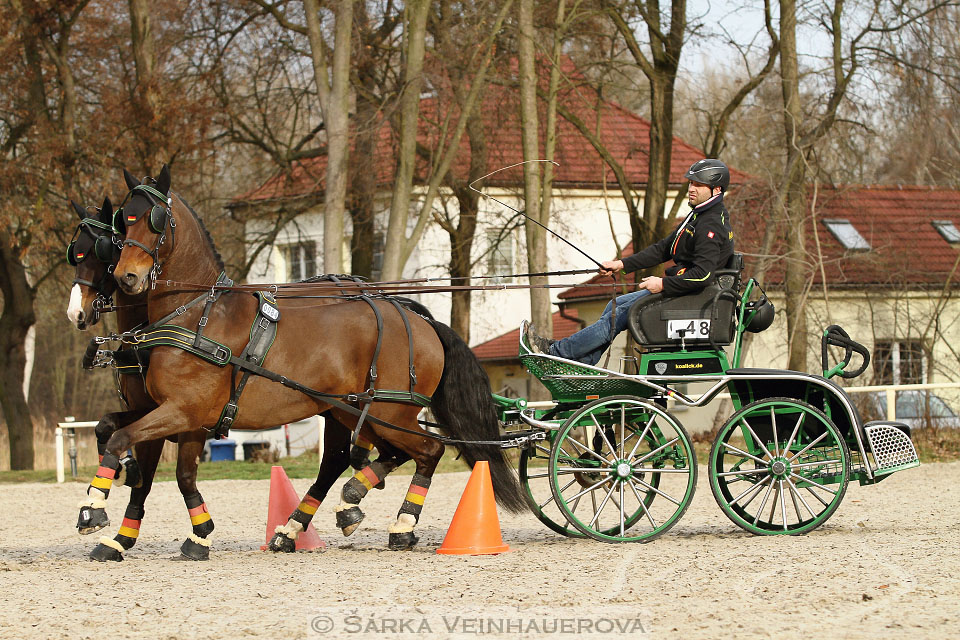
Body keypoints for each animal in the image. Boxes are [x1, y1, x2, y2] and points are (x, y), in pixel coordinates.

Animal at [78, 165, 520, 552]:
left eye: (153, 219)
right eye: (121, 224)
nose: (126, 277)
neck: (195, 314)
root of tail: (417, 318)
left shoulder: (184, 412)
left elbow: (128, 443)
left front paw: (95, 510)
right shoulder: (173, 414)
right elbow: (119, 436)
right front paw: (132, 519)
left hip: (388, 412)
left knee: (428, 451)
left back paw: (399, 525)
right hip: (352, 411)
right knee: (363, 458)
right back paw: (320, 516)